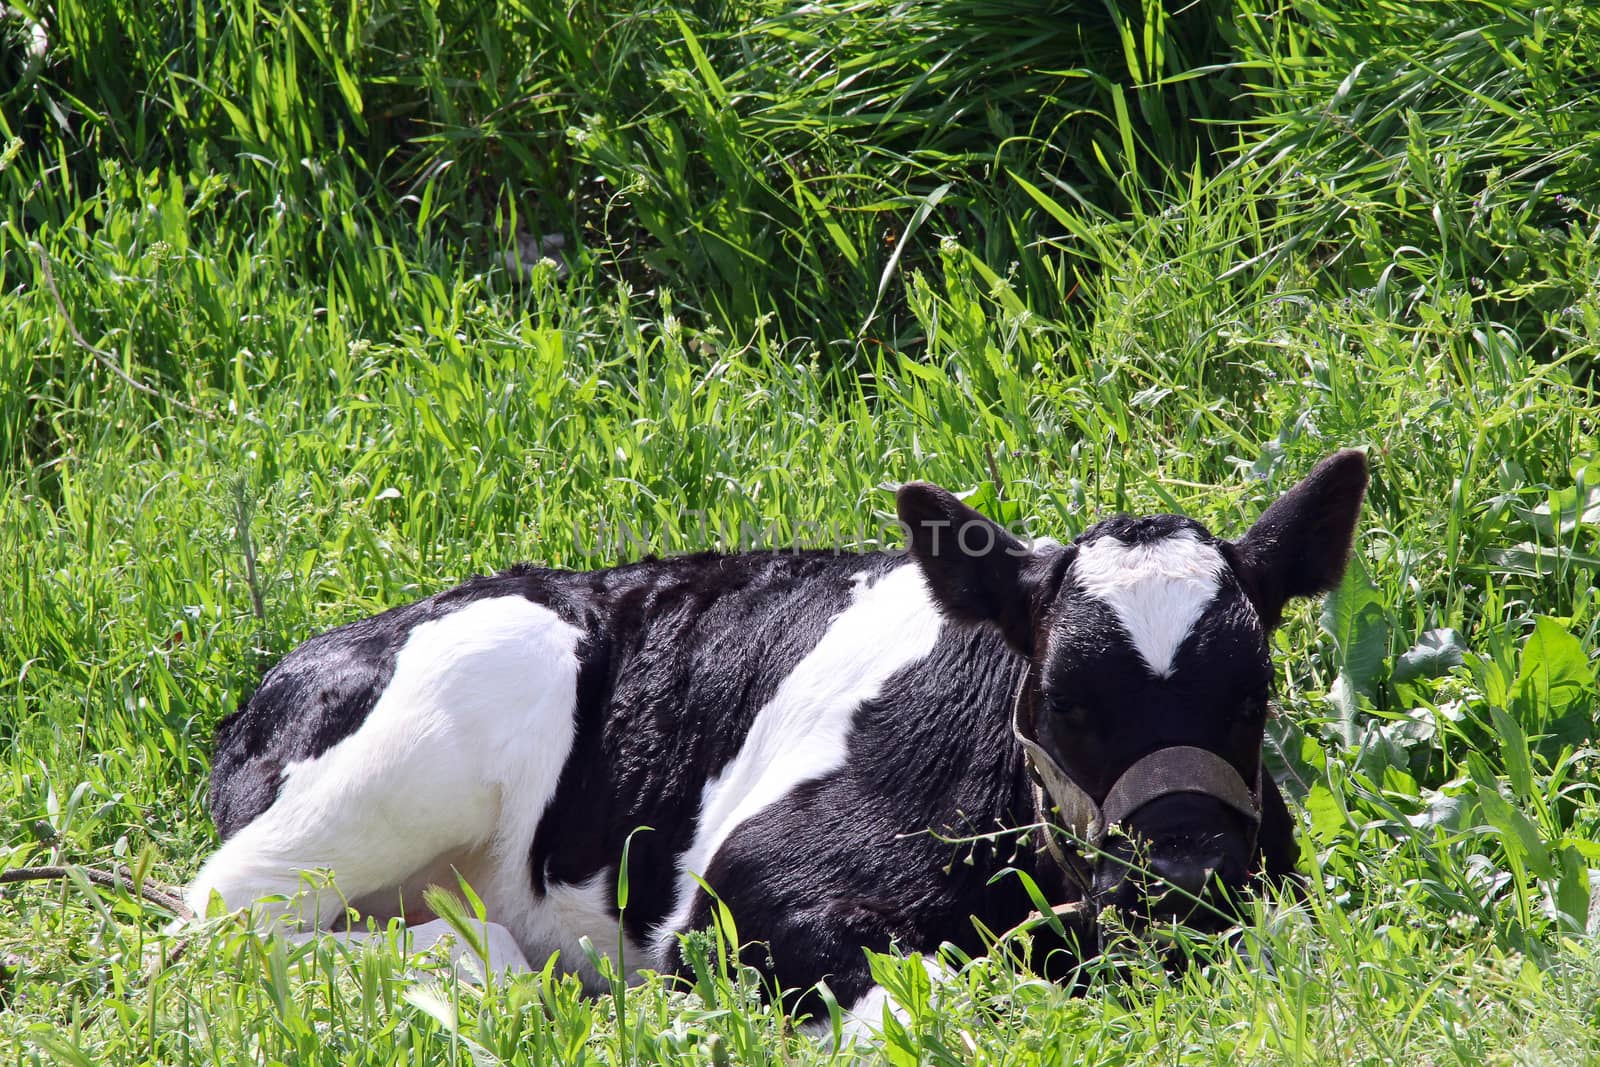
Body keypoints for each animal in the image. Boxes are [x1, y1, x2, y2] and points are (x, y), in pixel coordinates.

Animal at [184, 451, 1363, 1017]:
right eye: (1067, 699)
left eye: (1252, 692)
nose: (1189, 873)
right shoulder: (738, 892)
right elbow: (923, 1005)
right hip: (447, 716)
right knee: (215, 925)